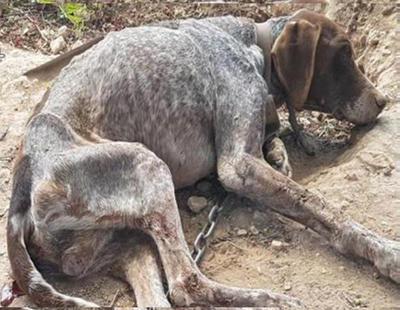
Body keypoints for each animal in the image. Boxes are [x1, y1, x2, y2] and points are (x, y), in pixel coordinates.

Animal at [6, 8, 396, 306]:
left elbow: (279, 144)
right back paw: (269, 300)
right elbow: (319, 206)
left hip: (129, 243)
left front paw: (282, 150)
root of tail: (21, 193)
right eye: (343, 53)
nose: (383, 100)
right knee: (185, 285)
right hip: (148, 166)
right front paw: (386, 252)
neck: (252, 46)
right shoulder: (238, 165)